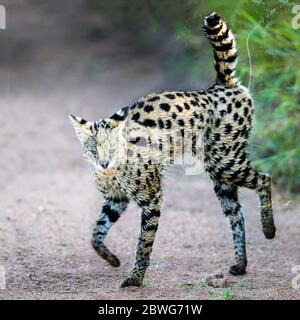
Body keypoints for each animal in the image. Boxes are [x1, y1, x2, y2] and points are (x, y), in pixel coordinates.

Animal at [69, 12, 276, 288]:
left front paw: (135, 278)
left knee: (264, 179)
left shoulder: (151, 197)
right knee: (236, 215)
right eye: (93, 150)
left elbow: (144, 242)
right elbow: (96, 233)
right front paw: (111, 259)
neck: (111, 172)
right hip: (220, 173)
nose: (103, 163)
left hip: (225, 161)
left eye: (112, 149)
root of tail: (221, 85)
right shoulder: (116, 199)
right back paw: (240, 264)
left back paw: (269, 229)